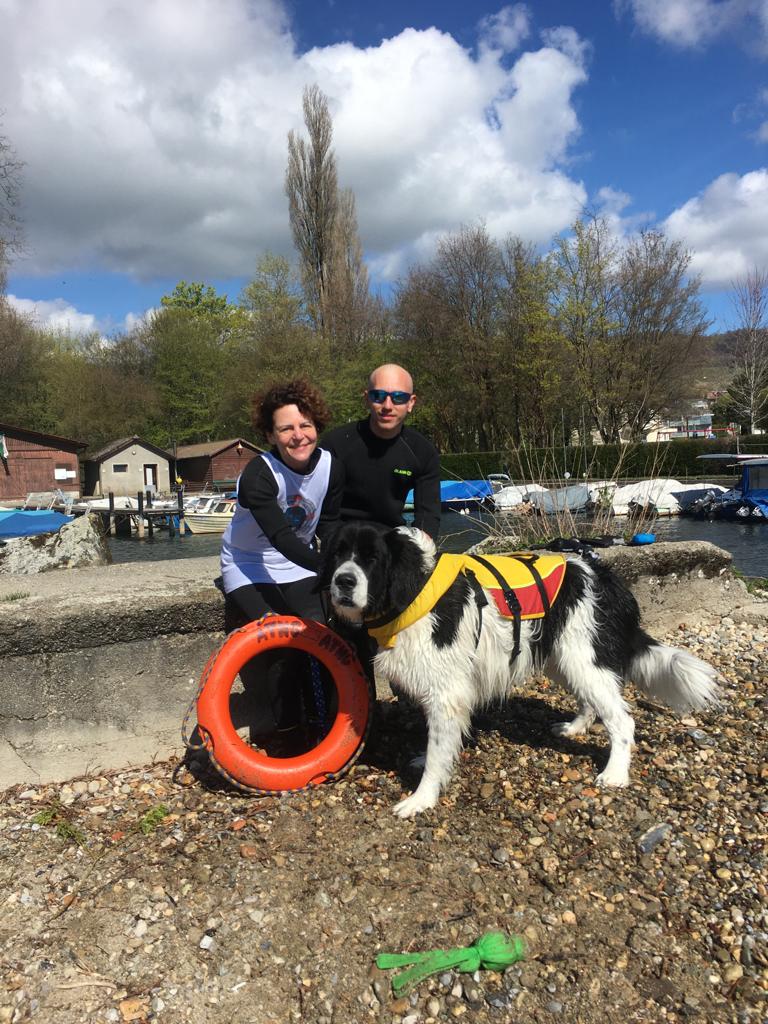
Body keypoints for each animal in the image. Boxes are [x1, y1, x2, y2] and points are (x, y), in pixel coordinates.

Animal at [323, 524, 720, 819]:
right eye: (338, 554)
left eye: (372, 559)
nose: (342, 581)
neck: (414, 590)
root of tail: (608, 578)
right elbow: (438, 743)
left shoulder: (446, 692)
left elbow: (438, 750)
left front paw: (421, 798)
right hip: (562, 657)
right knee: (593, 702)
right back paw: (576, 727)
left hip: (581, 657)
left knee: (622, 720)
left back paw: (615, 774)